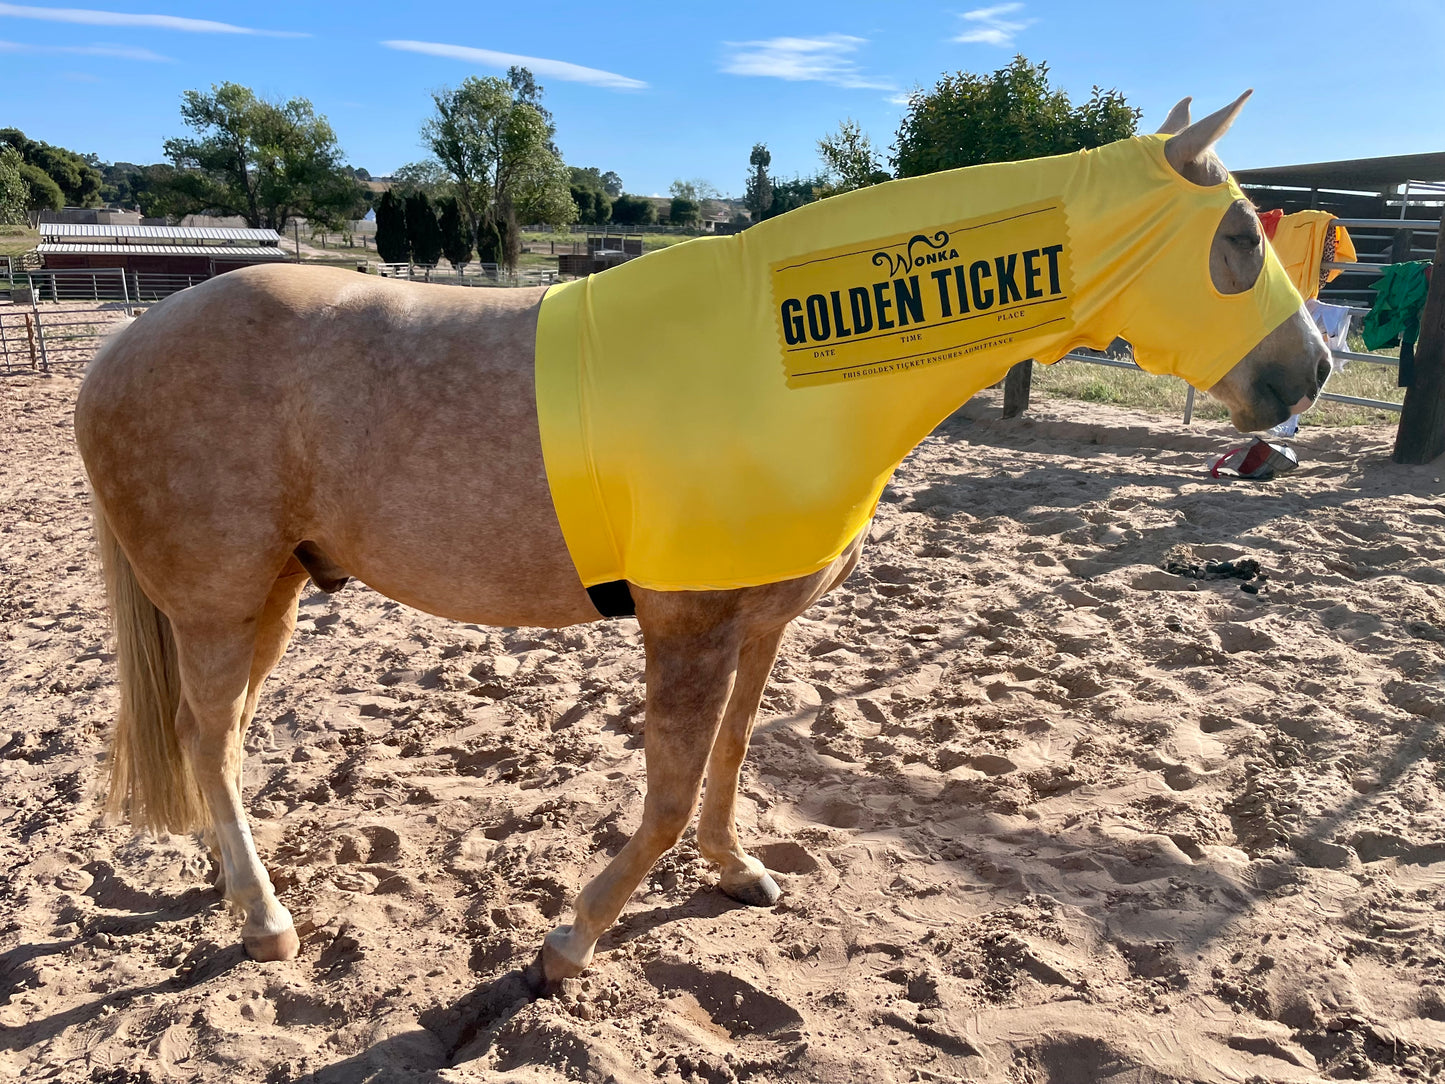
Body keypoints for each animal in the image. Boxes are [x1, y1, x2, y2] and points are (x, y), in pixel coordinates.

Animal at [73, 93, 1332, 991]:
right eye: (1233, 233)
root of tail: (119, 351)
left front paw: (735, 874)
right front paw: (571, 942)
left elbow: (727, 761)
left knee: (208, 744)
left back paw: (224, 884)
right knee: (210, 743)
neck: (783, 361)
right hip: (223, 604)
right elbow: (670, 791)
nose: (1309, 374)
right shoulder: (683, 626)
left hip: (269, 596)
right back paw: (264, 917)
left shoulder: (756, 620)